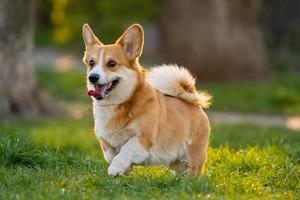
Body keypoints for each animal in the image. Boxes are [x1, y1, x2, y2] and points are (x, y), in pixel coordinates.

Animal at [82, 23, 211, 177]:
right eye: (91, 63)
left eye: (112, 63)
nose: (92, 77)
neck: (115, 105)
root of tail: (192, 100)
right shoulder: (106, 142)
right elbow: (111, 155)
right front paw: (124, 171)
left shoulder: (142, 138)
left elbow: (125, 150)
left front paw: (116, 168)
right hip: (176, 160)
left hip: (194, 154)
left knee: (194, 171)